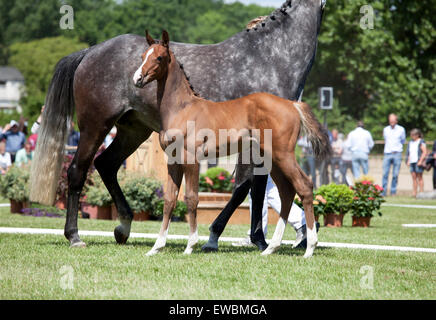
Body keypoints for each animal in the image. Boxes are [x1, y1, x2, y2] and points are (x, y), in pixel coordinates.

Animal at [135, 31, 328, 258]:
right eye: (142, 56)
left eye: (159, 58)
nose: (137, 79)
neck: (182, 108)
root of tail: (292, 105)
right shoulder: (173, 161)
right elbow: (169, 200)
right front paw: (156, 247)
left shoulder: (191, 159)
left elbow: (191, 198)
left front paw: (190, 245)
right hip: (272, 159)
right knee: (287, 192)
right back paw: (271, 248)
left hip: (283, 155)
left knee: (304, 186)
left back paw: (309, 248)